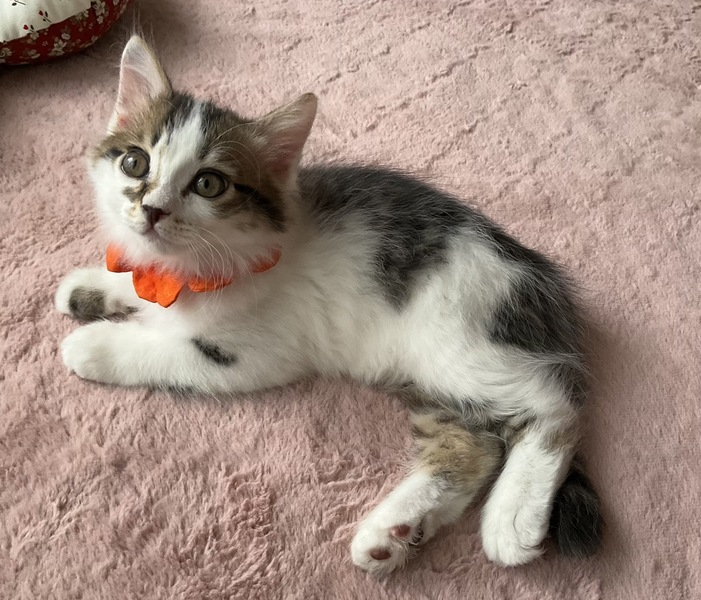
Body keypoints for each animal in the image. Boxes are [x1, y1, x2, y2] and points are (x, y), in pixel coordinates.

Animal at [55, 36, 602, 577]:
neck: (197, 265)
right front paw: (88, 287)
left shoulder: (251, 355)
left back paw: (512, 520)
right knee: (475, 444)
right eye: (135, 162)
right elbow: (136, 283)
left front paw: (92, 345)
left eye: (209, 184)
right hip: (426, 373)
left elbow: (163, 349)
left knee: (551, 404)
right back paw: (393, 534)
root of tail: (532, 275)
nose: (152, 209)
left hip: (455, 339)